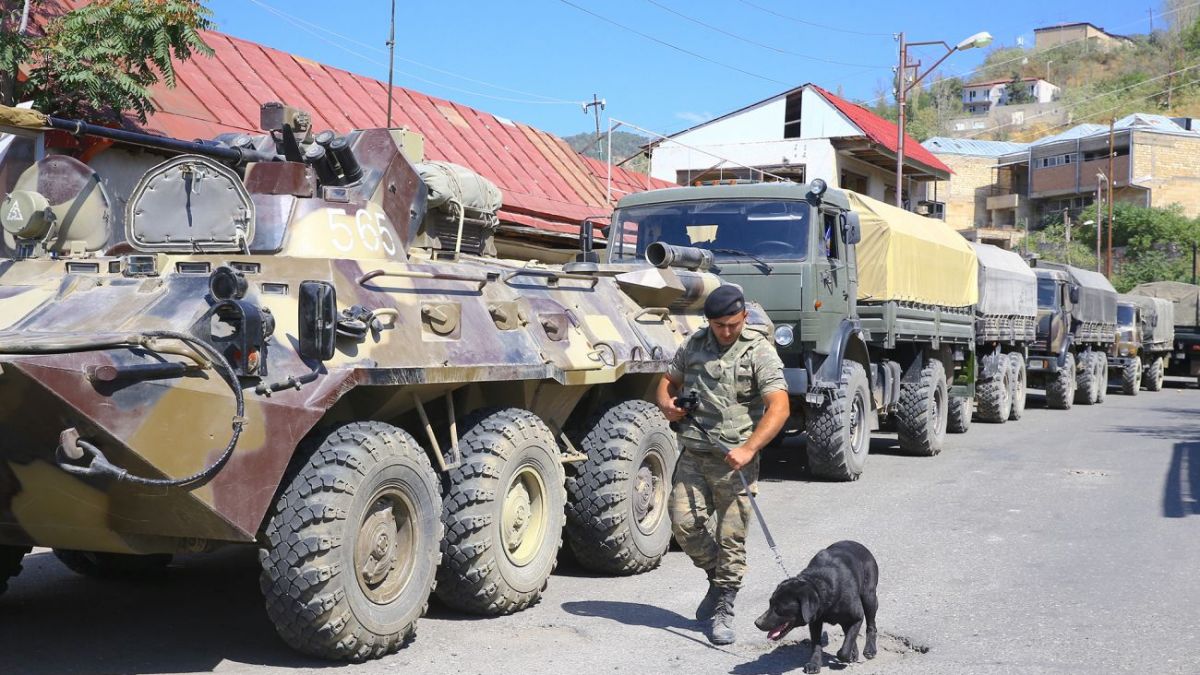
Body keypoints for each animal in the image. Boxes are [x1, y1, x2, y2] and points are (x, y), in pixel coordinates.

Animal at [753, 538, 878, 667]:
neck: (820, 586)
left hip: (869, 597)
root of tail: (857, 543)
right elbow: (816, 644)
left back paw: (870, 649)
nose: (757, 623)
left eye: (778, 609)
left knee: (871, 625)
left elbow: (846, 645)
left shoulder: (858, 617)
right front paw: (814, 663)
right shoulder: (815, 621)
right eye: (770, 603)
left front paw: (845, 653)